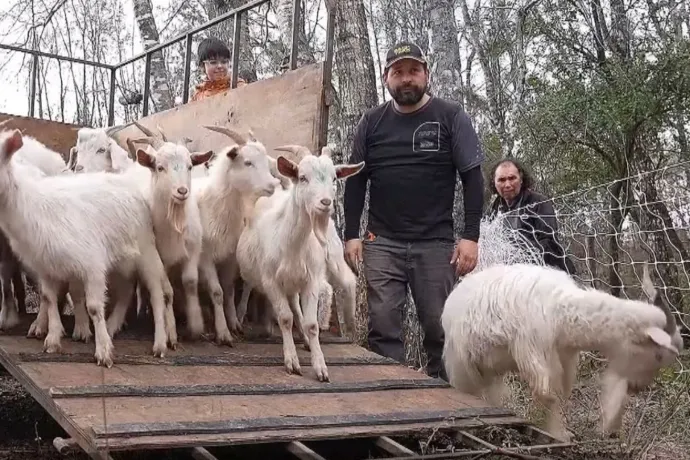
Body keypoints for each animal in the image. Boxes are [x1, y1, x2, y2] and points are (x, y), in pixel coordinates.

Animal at [0, 130, 173, 366]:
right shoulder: (46, 266)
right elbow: (49, 298)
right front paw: (53, 340)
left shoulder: (92, 265)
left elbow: (93, 307)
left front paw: (103, 352)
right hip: (121, 260)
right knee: (127, 289)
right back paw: (113, 326)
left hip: (146, 250)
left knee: (156, 293)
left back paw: (160, 344)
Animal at [191, 126, 280, 344]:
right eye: (247, 162)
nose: (272, 185)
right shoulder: (205, 256)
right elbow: (217, 292)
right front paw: (223, 333)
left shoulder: (231, 257)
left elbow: (229, 290)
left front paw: (234, 324)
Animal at [235, 145, 366, 380]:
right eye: (303, 177)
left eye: (334, 178)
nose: (326, 203)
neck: (291, 244)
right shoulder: (271, 281)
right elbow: (285, 318)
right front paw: (292, 362)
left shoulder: (310, 280)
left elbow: (311, 323)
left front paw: (320, 367)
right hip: (254, 271)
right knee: (250, 287)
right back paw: (240, 316)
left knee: (298, 307)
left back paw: (306, 338)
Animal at [438, 260, 680, 440]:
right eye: (658, 355)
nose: (637, 388)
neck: (562, 312)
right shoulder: (536, 355)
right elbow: (550, 396)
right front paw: (558, 434)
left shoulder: (562, 358)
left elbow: (558, 394)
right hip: (461, 363)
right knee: (469, 389)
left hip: (489, 367)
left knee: (490, 392)